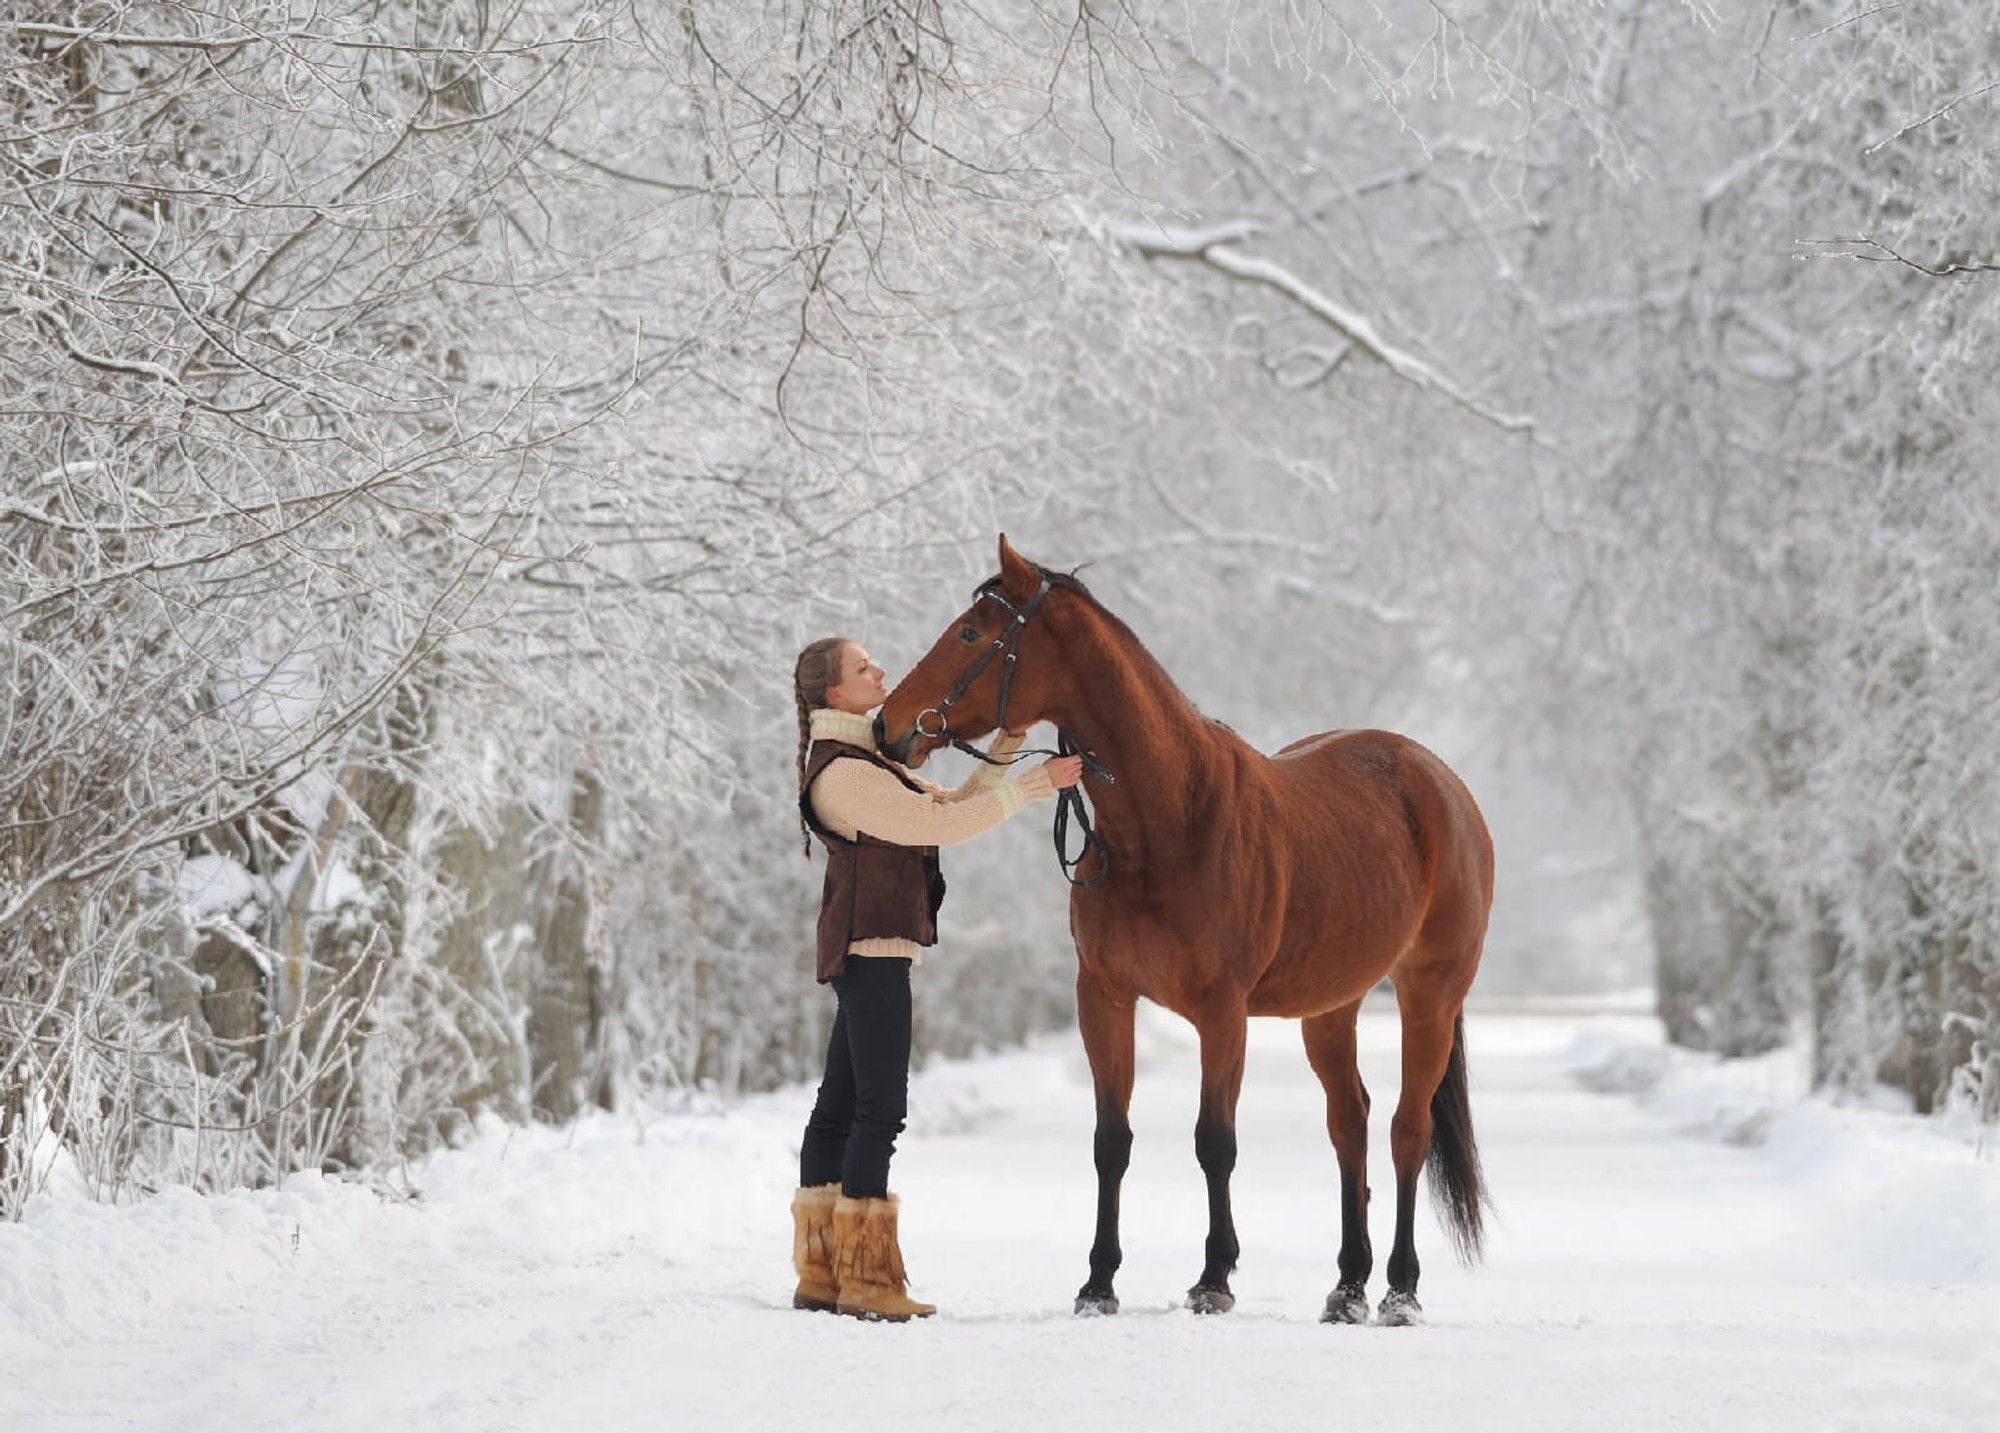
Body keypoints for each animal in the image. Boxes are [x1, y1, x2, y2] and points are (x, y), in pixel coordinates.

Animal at [884, 540, 1496, 1328]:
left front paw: (1213, 1277)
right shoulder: (1104, 996)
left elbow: (1215, 1142)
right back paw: (1348, 1287)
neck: (1170, 818)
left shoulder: (1222, 1010)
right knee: (1350, 1124)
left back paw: (1399, 1289)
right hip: (1331, 1008)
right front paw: (1098, 1282)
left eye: (969, 633)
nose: (890, 725)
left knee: (1405, 1130)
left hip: (1430, 995)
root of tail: (1440, 782)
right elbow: (1111, 1140)